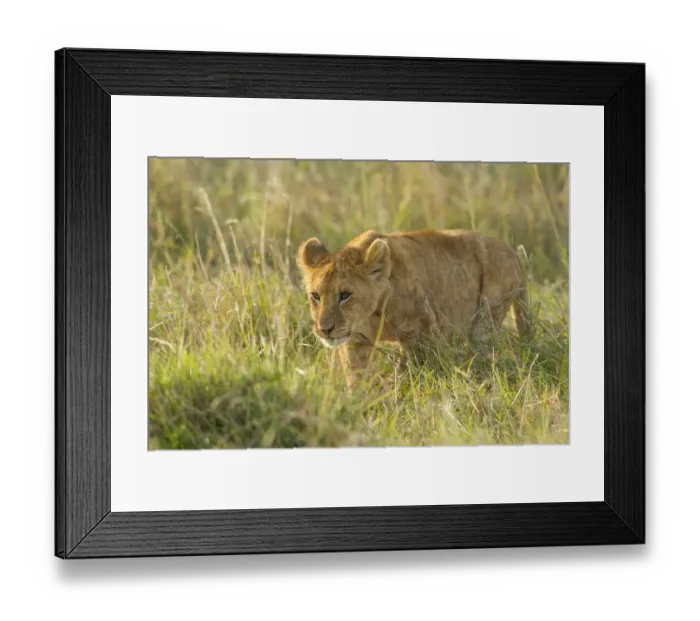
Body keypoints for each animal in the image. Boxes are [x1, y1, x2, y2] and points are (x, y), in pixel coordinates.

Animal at [298, 229, 530, 387]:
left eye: (345, 295)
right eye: (316, 296)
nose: (324, 329)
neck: (373, 313)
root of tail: (515, 254)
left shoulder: (422, 333)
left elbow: (417, 372)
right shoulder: (356, 341)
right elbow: (359, 376)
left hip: (486, 318)